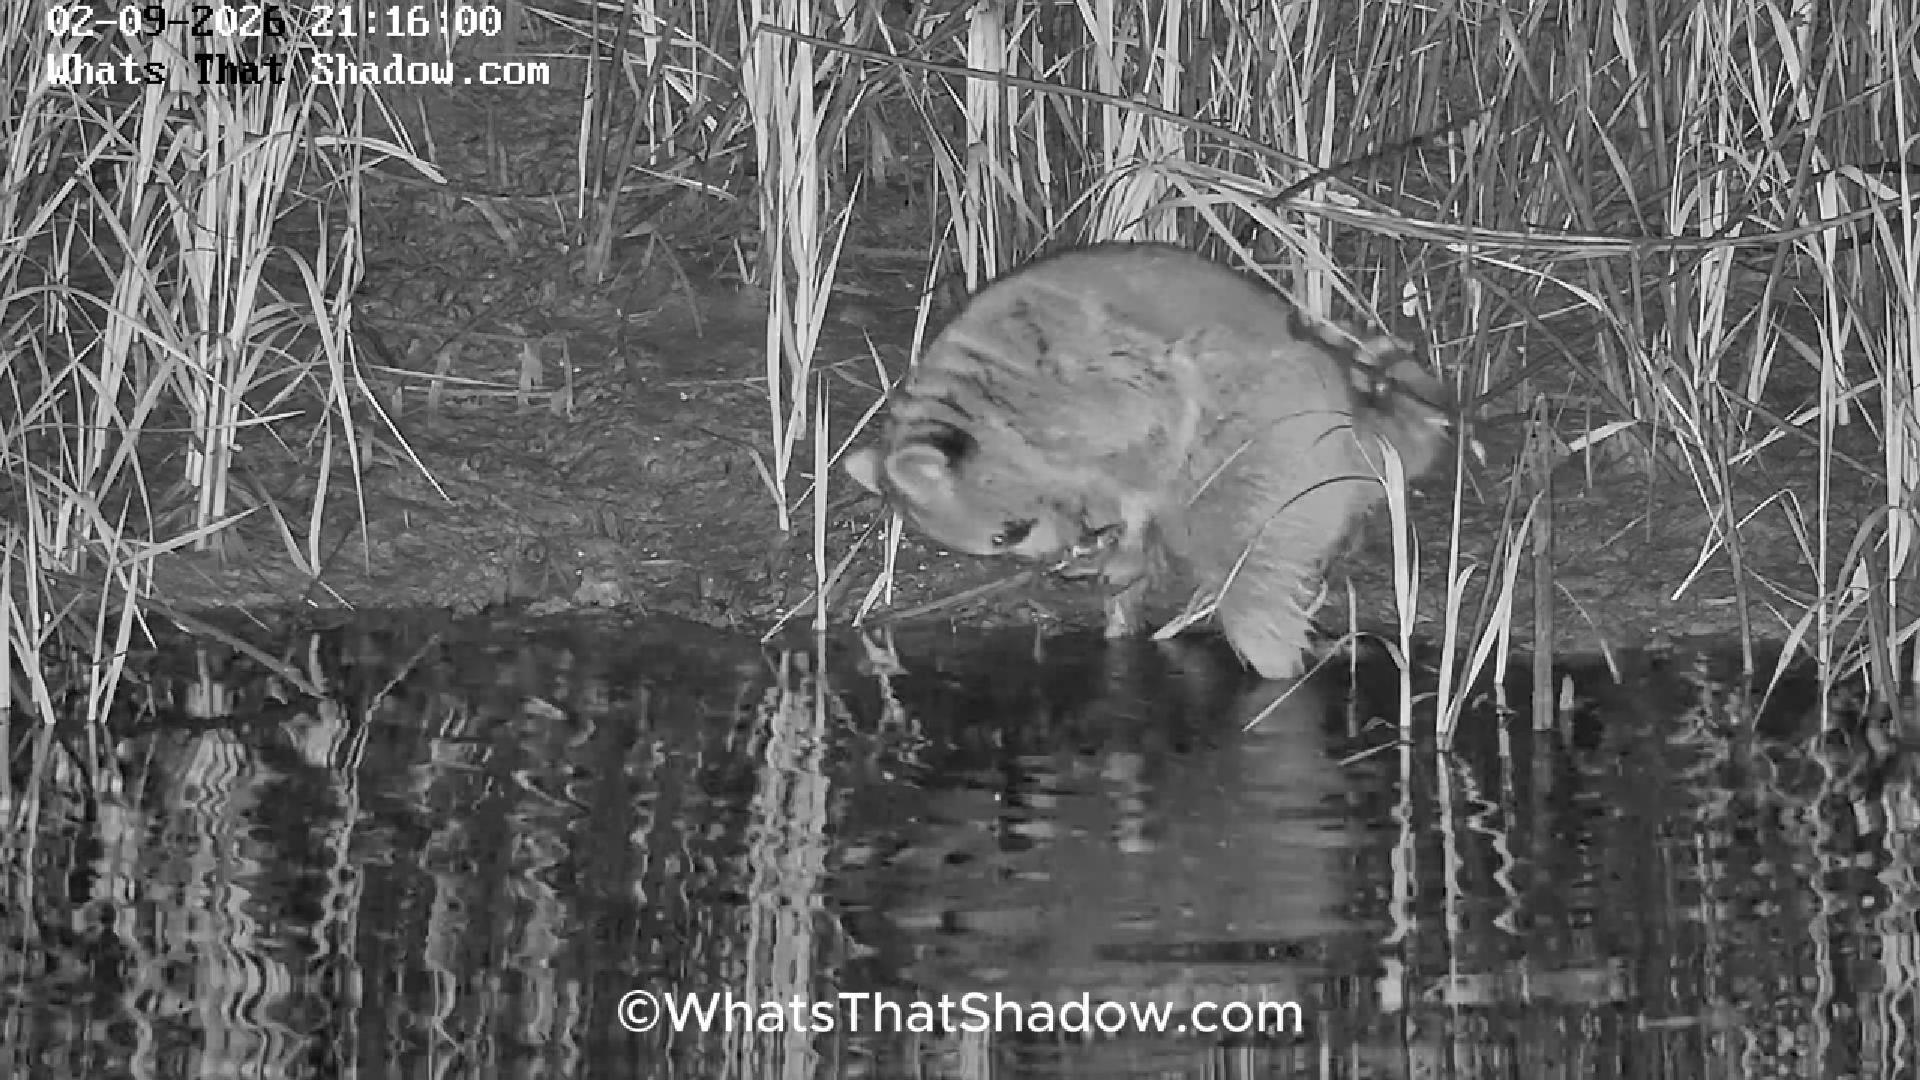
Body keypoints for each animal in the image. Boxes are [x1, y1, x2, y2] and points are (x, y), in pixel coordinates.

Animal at [843, 242, 1450, 679]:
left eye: (1005, 535)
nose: (1056, 554)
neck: (972, 401)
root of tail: (1349, 416)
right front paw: (1106, 534)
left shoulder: (1100, 383)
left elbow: (1153, 437)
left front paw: (1123, 522)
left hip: (1271, 448)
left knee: (1248, 575)